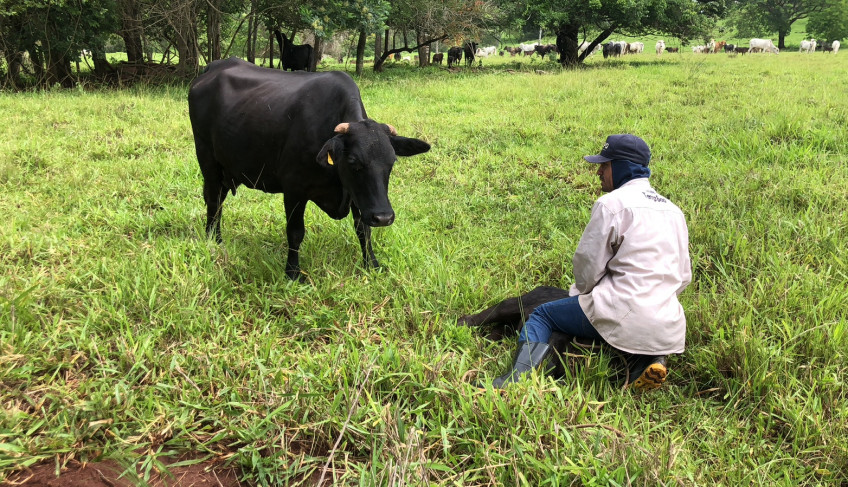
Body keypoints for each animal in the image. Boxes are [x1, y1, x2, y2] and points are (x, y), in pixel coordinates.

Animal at [190, 57, 434, 280]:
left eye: (392, 162)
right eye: (353, 160)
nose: (383, 217)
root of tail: (214, 67)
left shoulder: (359, 196)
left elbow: (363, 230)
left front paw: (372, 265)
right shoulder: (294, 189)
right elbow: (295, 232)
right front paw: (293, 273)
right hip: (207, 158)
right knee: (214, 201)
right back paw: (214, 240)